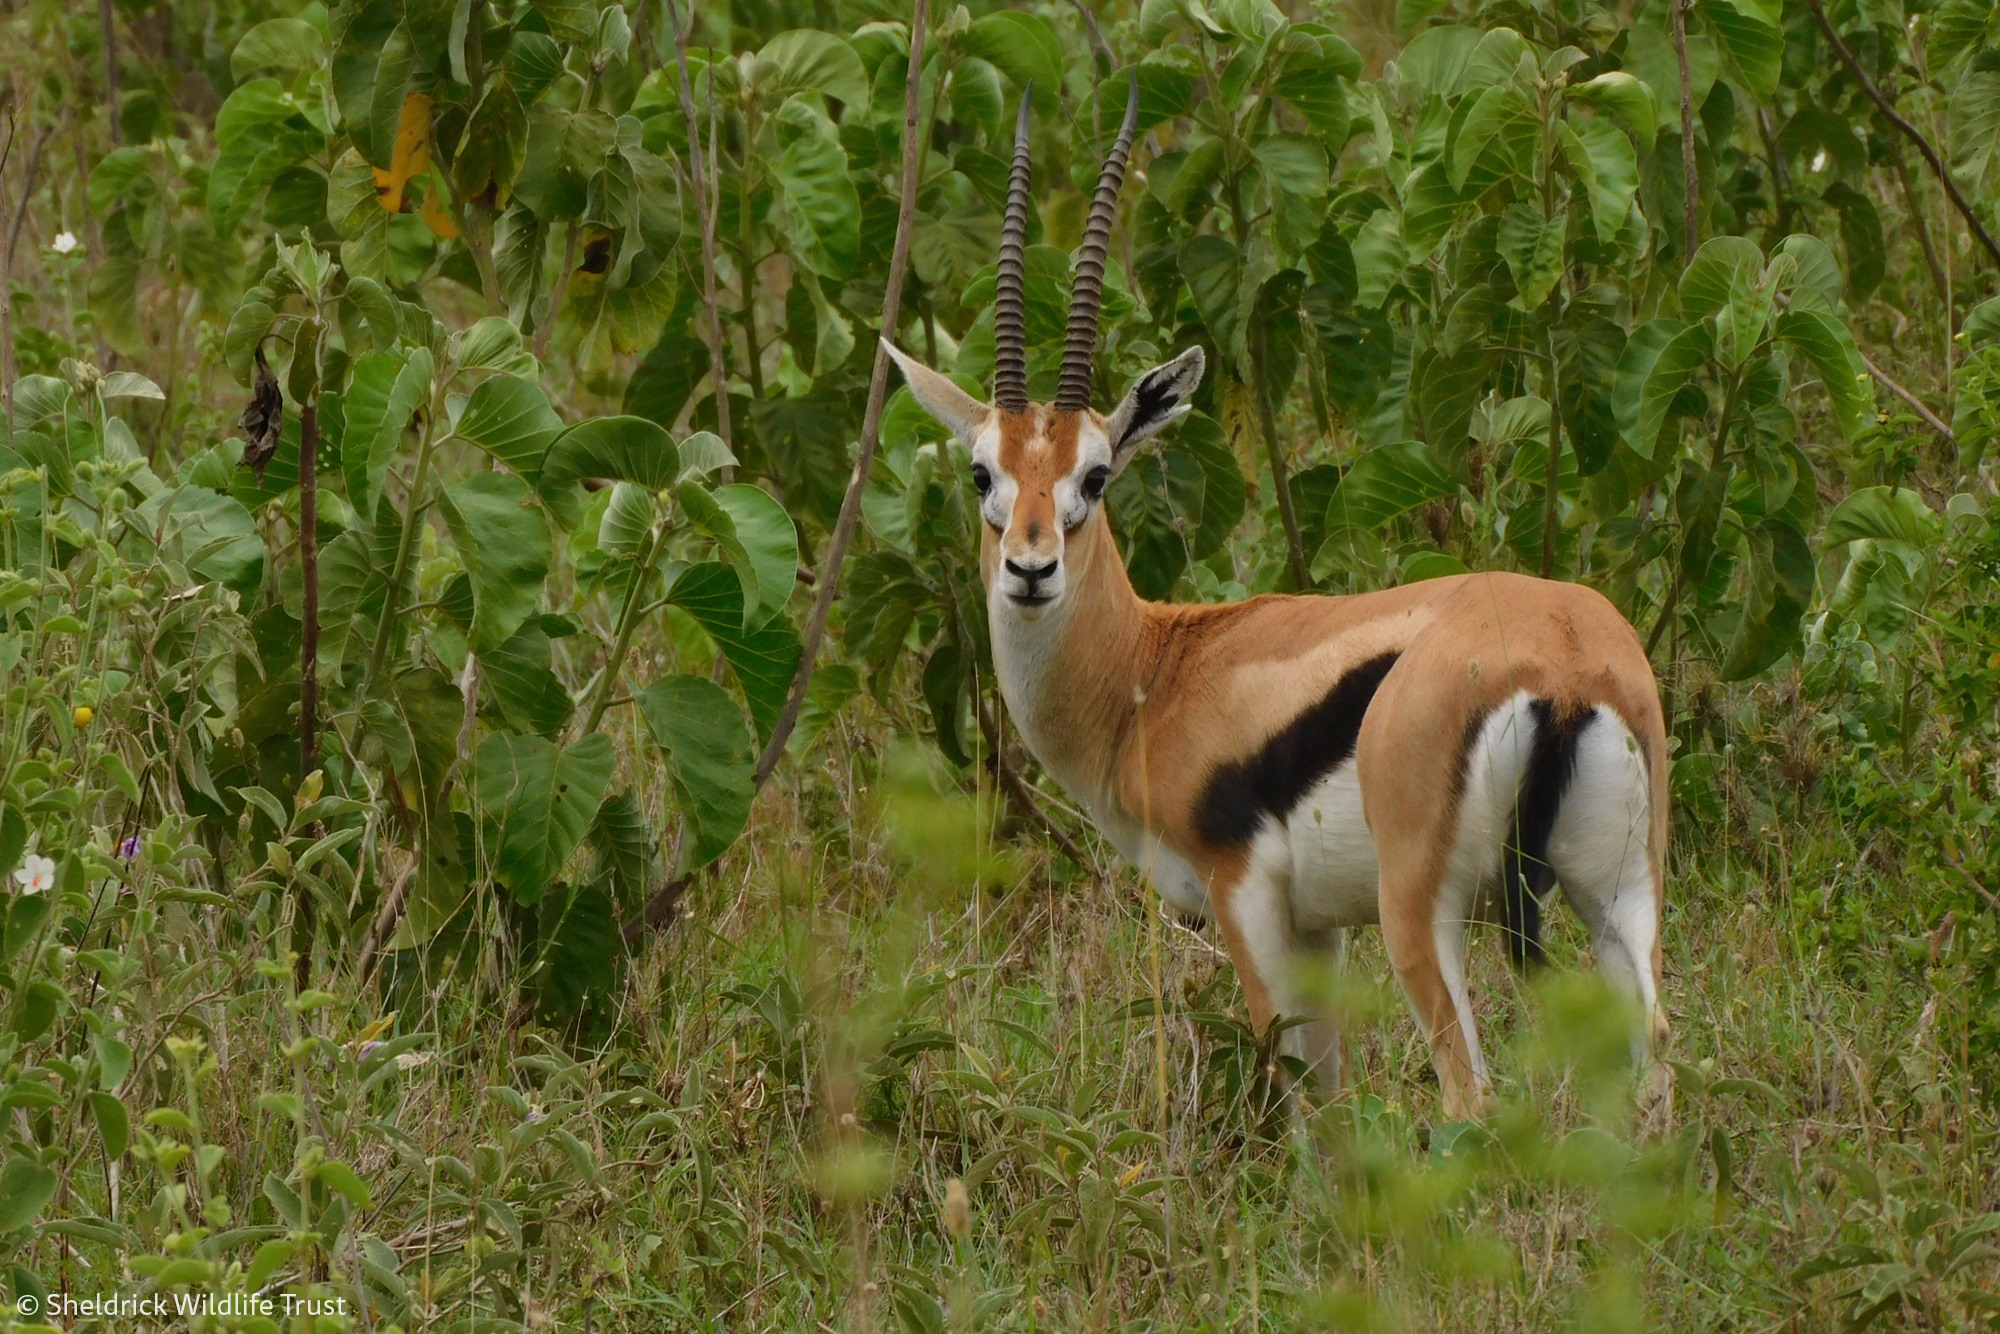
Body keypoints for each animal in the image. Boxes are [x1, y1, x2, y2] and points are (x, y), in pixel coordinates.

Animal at [883, 87, 1670, 1120]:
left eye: (1095, 476)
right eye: (983, 473)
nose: (1030, 569)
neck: (1157, 671)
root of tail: (1567, 661)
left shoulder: (1246, 898)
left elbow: (1298, 1097)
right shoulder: (1320, 926)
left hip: (1424, 918)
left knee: (1472, 1096)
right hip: (1619, 899)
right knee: (1661, 1075)